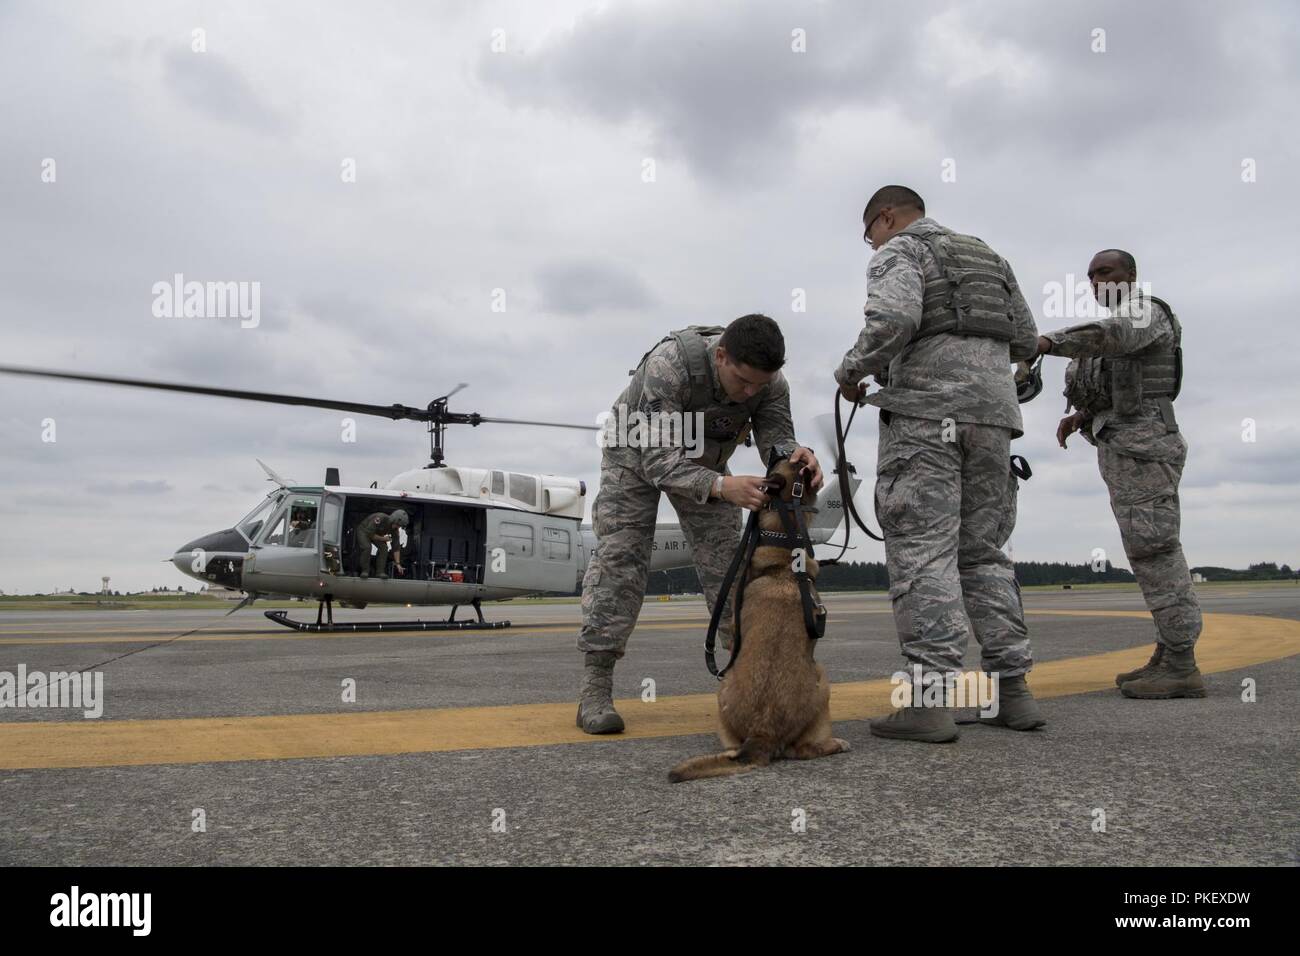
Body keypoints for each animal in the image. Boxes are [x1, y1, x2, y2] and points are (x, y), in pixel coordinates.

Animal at [670, 460, 852, 780]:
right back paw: (837, 743)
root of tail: (762, 732)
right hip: (823, 678)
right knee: (805, 749)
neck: (785, 552)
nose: (808, 454)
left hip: (723, 691)